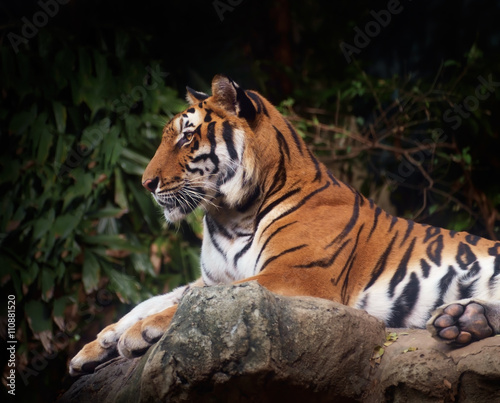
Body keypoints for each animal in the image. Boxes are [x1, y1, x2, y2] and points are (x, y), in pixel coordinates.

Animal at [69, 74, 500, 378]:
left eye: (187, 138)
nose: (146, 183)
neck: (230, 214)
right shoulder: (211, 280)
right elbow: (157, 299)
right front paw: (96, 344)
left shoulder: (298, 275)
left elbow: (183, 307)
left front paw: (137, 333)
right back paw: (463, 320)